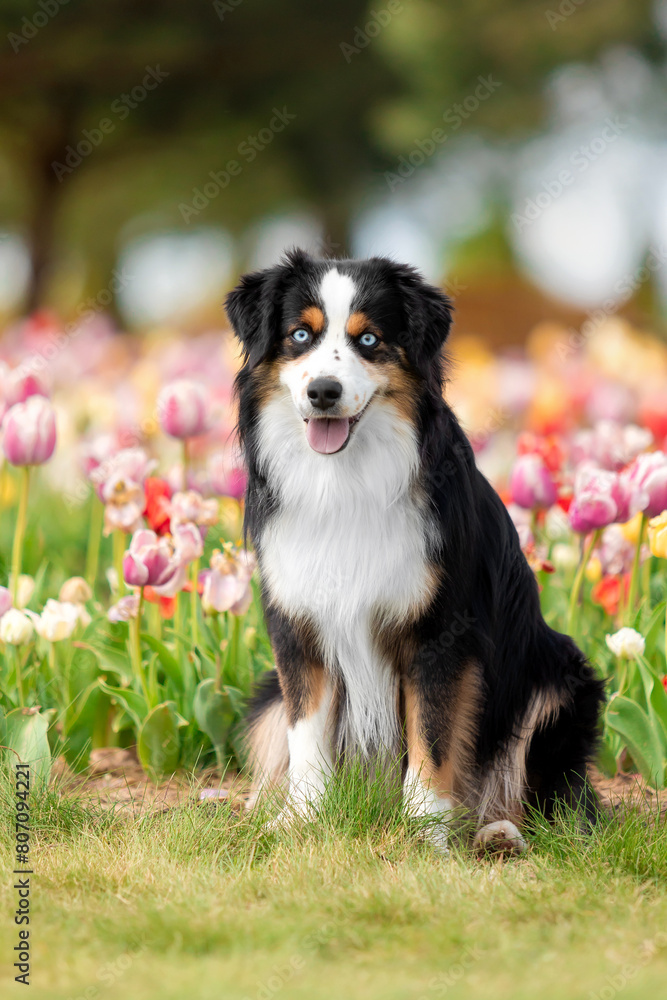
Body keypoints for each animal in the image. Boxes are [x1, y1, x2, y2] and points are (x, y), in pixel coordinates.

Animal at [226, 248, 604, 852]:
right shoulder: (297, 625)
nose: (323, 392)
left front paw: (423, 833)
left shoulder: (441, 629)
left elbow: (433, 736)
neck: (346, 482)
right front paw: (304, 820)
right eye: (300, 335)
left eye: (369, 340)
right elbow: (307, 733)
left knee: (546, 798)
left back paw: (497, 833)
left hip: (561, 680)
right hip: (265, 698)